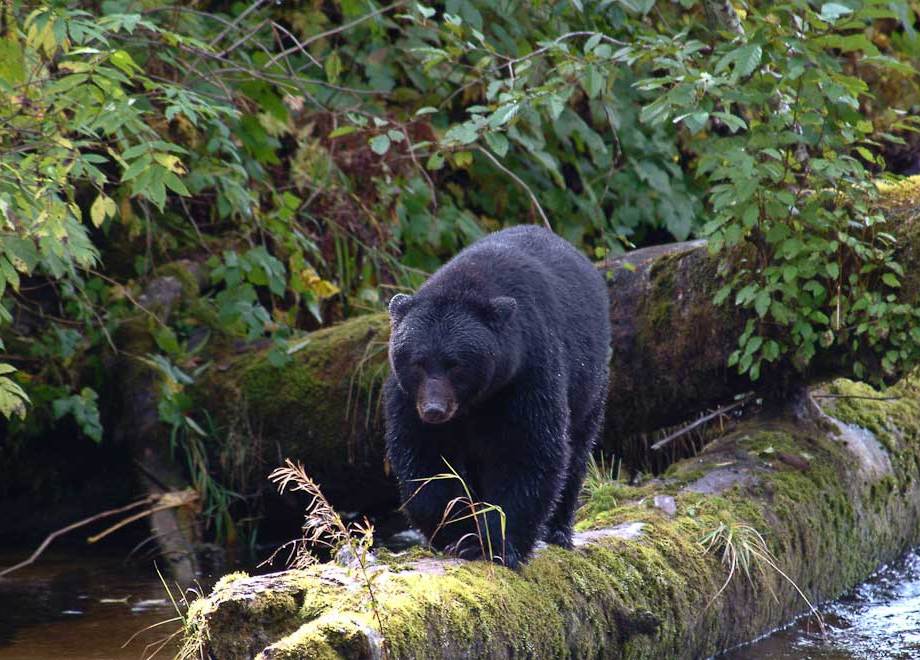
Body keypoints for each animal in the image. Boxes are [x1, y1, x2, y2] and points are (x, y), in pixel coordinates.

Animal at [383, 225, 611, 568]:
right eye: (418, 362)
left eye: (455, 364)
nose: (435, 410)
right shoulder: (408, 398)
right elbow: (424, 458)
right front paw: (457, 534)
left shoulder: (526, 376)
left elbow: (527, 452)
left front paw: (494, 544)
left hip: (590, 383)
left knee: (578, 450)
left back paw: (558, 531)